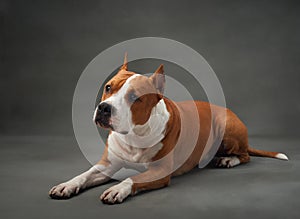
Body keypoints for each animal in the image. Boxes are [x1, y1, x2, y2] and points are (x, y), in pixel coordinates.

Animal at [49, 54, 288, 204]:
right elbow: (84, 175)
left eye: (134, 97)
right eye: (108, 87)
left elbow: (132, 179)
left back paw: (228, 160)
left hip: (226, 127)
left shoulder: (160, 172)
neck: (134, 135)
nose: (104, 108)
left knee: (245, 156)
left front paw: (117, 189)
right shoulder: (107, 165)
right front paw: (66, 185)